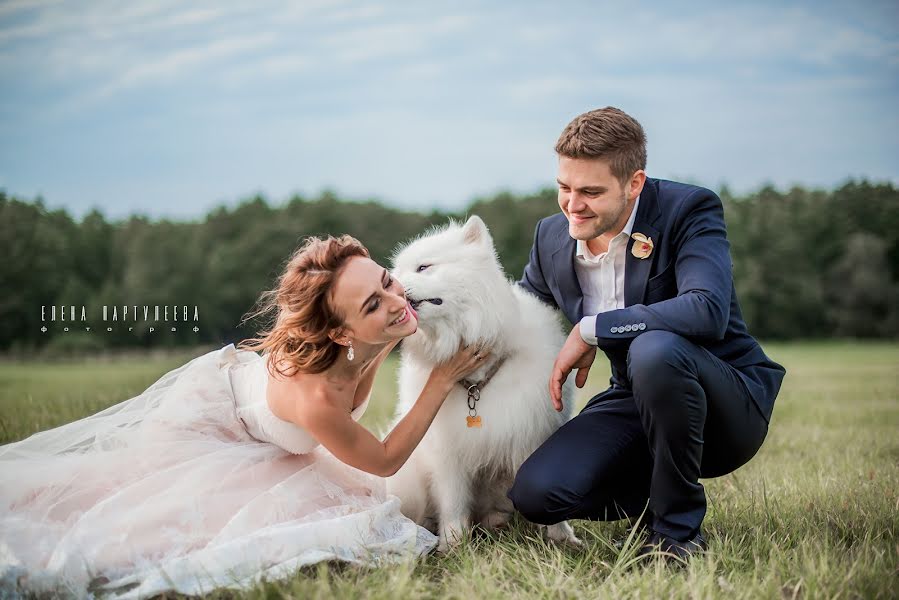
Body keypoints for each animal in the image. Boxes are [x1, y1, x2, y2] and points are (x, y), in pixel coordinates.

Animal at [384, 213, 580, 552]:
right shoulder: (447, 452)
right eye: (395, 272)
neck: (476, 383)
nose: (388, 283)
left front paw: (561, 538)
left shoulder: (531, 433)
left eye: (423, 267)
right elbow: (453, 502)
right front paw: (453, 544)